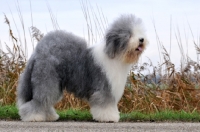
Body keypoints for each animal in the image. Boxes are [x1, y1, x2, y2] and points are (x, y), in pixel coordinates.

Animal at [17, 13, 148, 122]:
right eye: (129, 34)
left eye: (139, 32)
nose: (141, 39)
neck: (114, 55)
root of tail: (38, 51)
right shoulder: (104, 87)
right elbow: (105, 103)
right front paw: (109, 117)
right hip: (47, 80)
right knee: (39, 101)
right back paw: (33, 117)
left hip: (54, 84)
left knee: (45, 102)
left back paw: (50, 116)